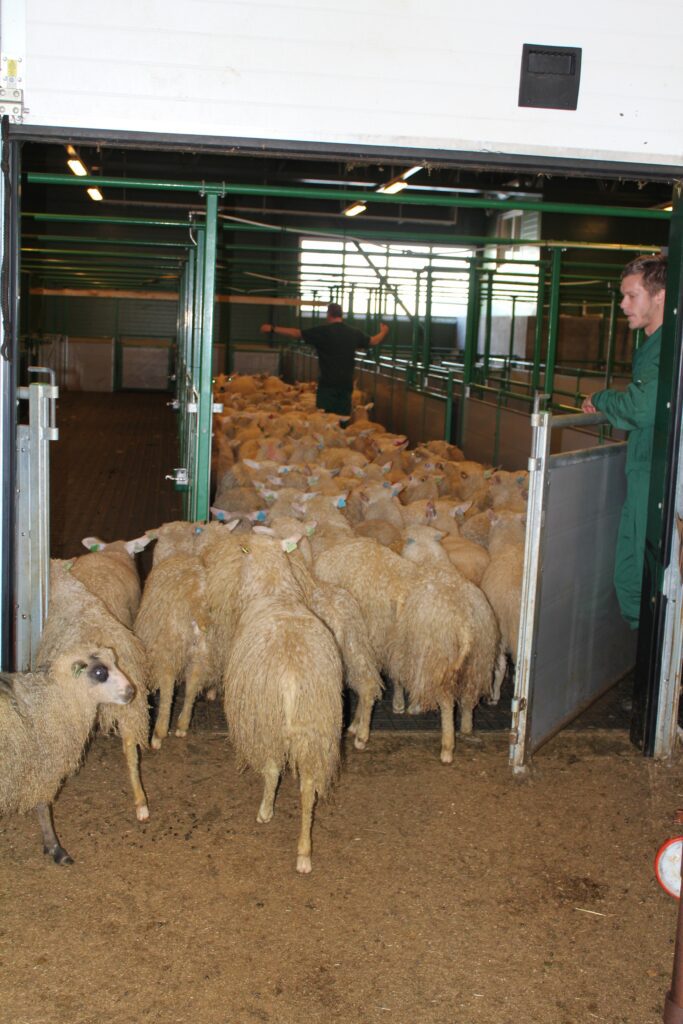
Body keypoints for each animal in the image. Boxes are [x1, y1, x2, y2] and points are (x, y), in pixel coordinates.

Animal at [0, 647, 135, 864]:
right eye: (99, 672)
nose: (131, 691)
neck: (55, 697)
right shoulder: (44, 765)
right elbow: (43, 808)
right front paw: (55, 848)